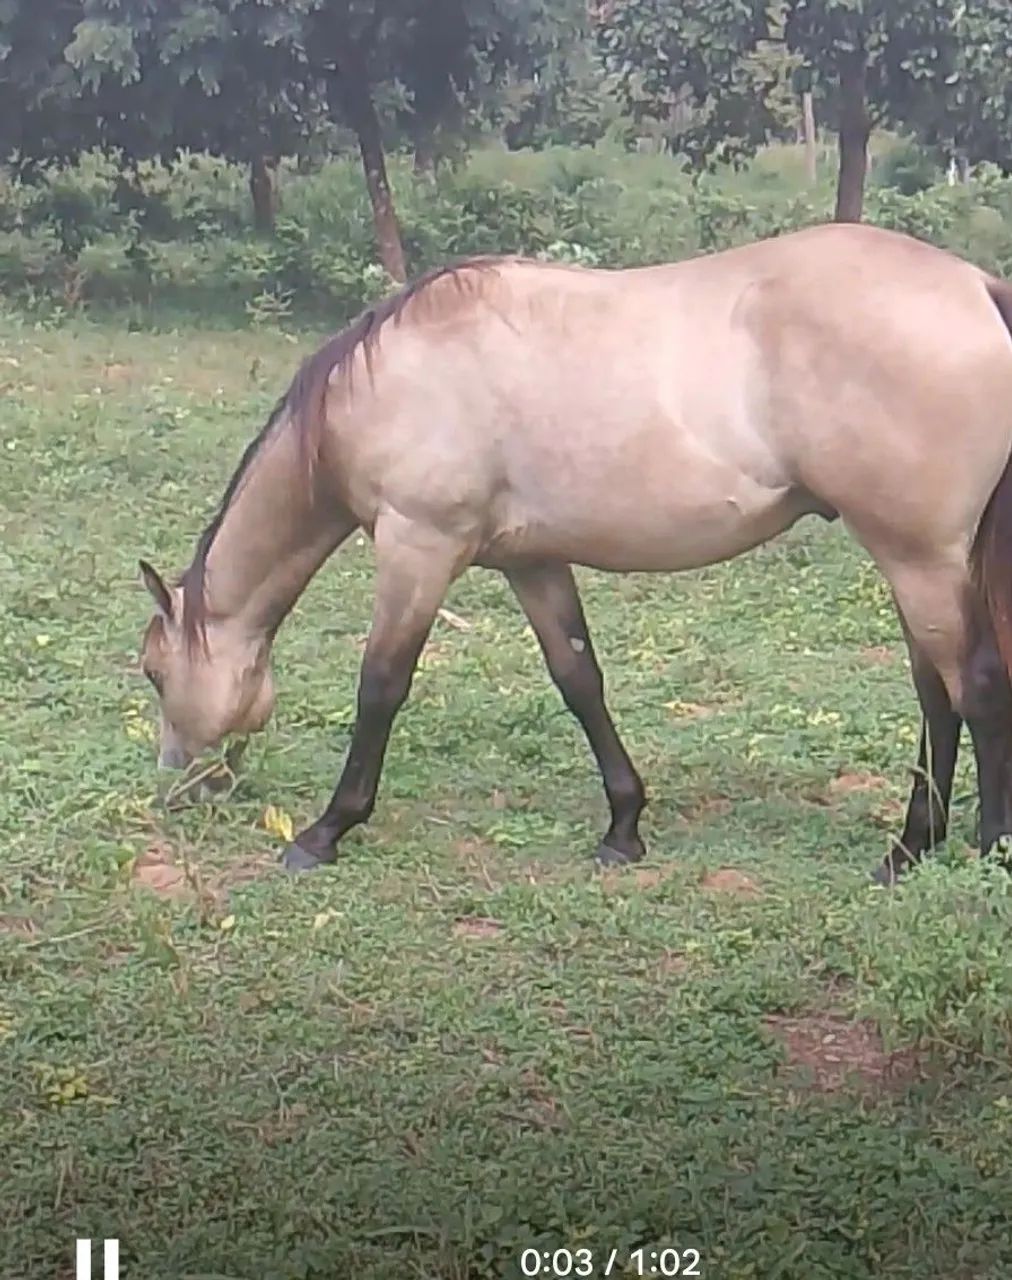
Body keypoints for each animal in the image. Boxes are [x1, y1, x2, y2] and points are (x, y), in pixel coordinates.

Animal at [137, 222, 1012, 884]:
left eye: (152, 672)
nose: (177, 779)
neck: (388, 380)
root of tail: (976, 286)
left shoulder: (418, 546)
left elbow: (381, 685)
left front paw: (325, 831)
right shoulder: (533, 563)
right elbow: (579, 680)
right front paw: (624, 827)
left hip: (918, 557)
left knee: (973, 685)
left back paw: (986, 846)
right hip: (912, 560)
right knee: (935, 693)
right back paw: (910, 848)